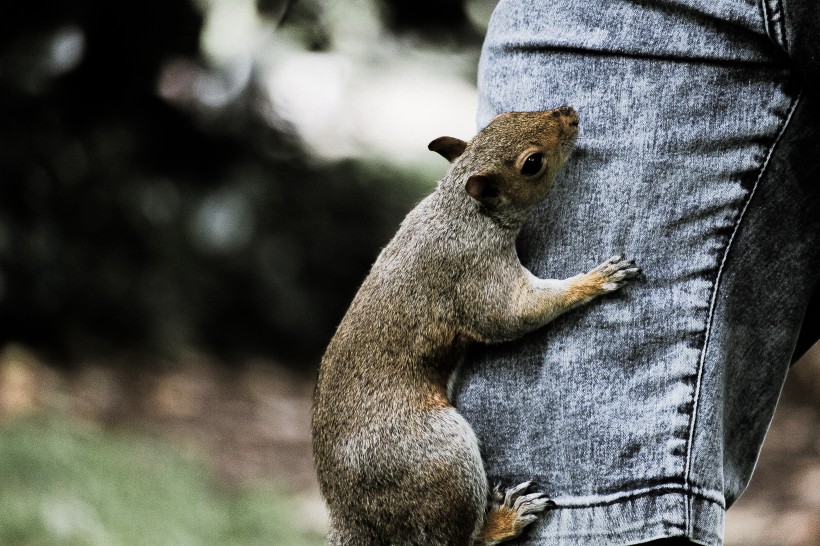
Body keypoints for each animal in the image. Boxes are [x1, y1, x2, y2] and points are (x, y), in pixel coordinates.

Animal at [310, 107, 636, 544]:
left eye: (503, 117)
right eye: (532, 163)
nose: (569, 114)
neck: (460, 210)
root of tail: (354, 519)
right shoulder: (475, 275)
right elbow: (514, 314)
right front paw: (596, 279)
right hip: (441, 457)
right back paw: (505, 519)